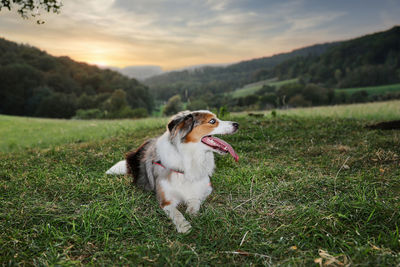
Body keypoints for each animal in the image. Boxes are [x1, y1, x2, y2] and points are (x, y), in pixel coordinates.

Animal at [104, 110, 239, 233]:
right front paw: (184, 226)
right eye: (212, 121)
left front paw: (191, 213)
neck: (191, 157)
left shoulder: (205, 188)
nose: (237, 124)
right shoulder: (166, 199)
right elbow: (176, 212)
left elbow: (195, 201)